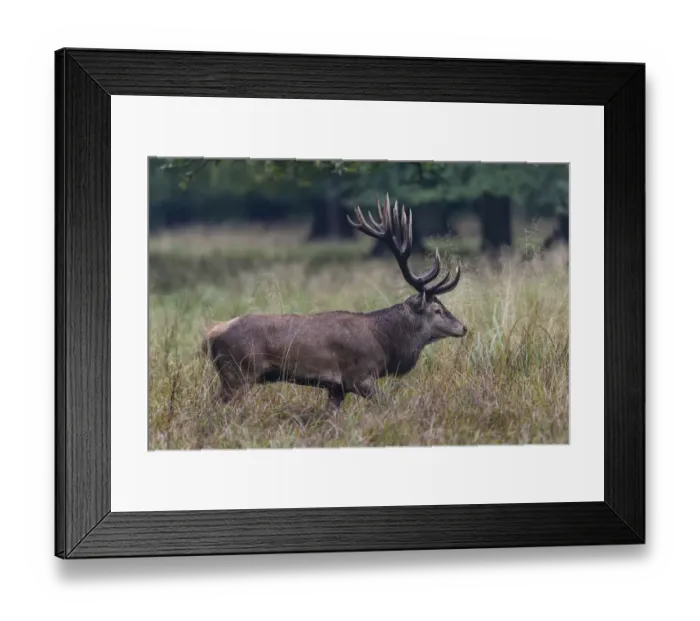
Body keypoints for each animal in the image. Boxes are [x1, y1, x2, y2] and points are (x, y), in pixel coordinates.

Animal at [201, 194, 467, 410]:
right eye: (437, 309)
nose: (463, 327)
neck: (385, 342)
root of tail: (212, 334)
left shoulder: (336, 387)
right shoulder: (359, 376)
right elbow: (388, 405)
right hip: (239, 373)